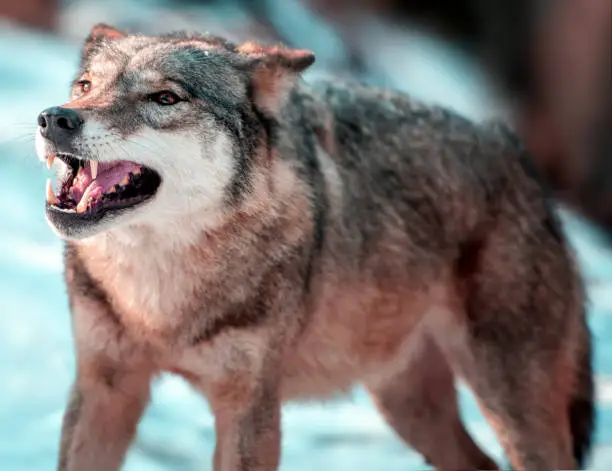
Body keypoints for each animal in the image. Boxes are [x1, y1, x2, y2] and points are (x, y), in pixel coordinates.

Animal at [35, 24, 596, 471]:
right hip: (407, 405)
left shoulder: (251, 409)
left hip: (511, 405)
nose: (54, 118)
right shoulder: (103, 389)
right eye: (85, 86)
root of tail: (515, 152)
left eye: (165, 98)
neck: (157, 301)